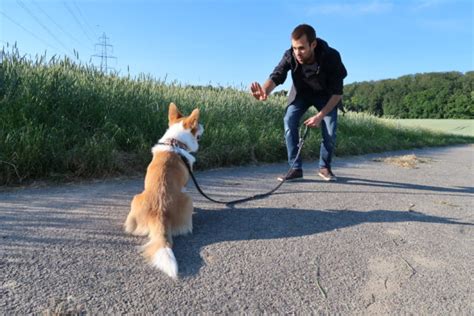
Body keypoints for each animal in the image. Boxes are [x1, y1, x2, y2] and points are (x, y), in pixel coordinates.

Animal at [124, 102, 202, 278]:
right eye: (197, 125)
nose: (203, 126)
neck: (175, 141)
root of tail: (160, 213)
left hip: (135, 198)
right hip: (188, 199)